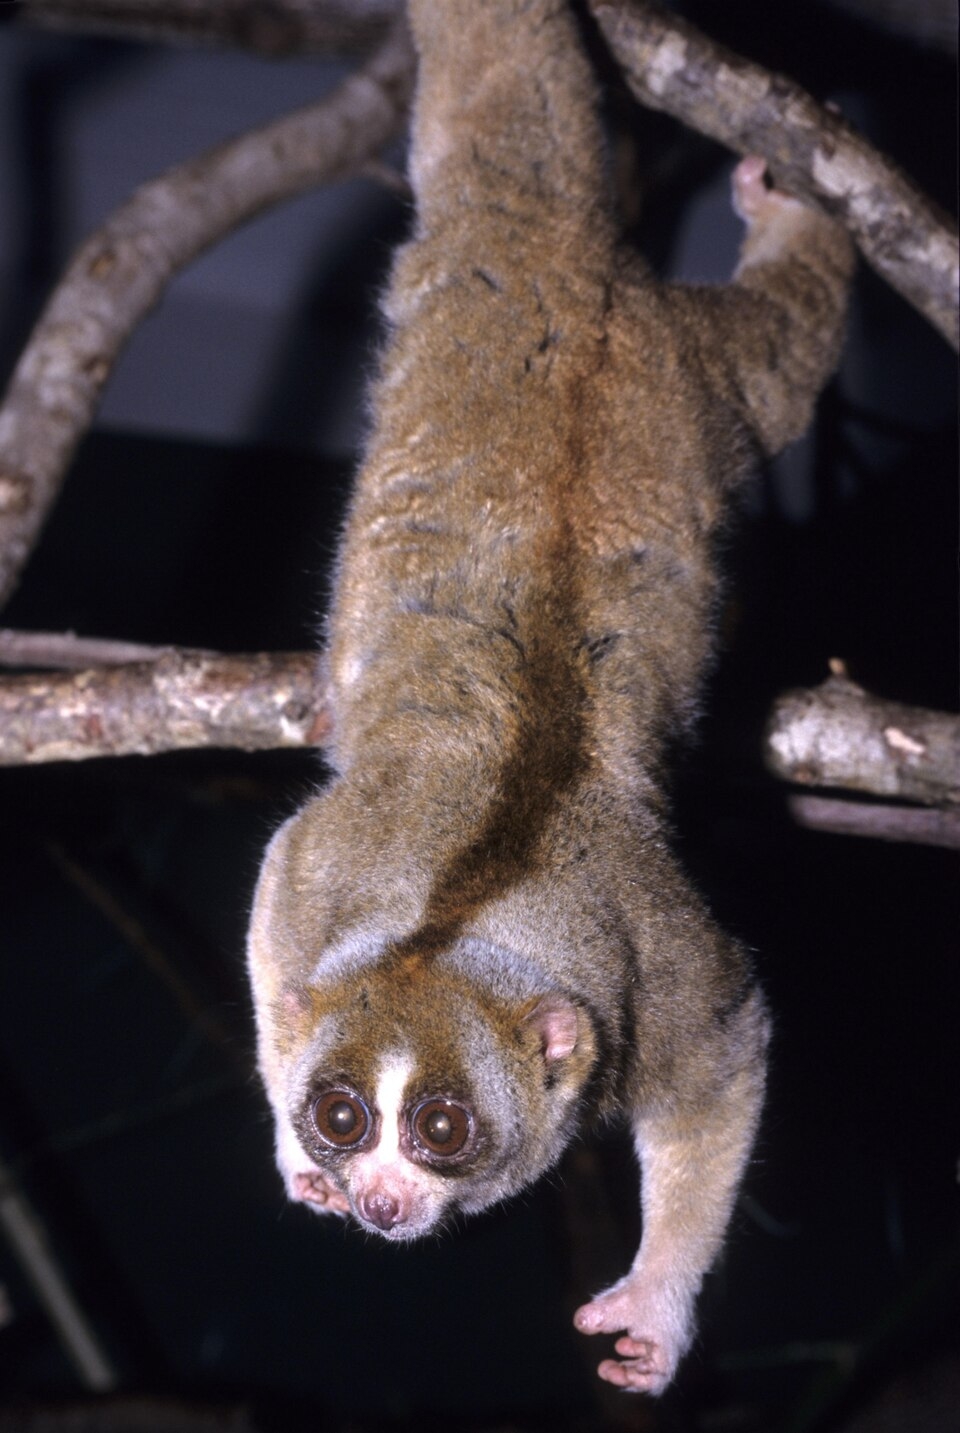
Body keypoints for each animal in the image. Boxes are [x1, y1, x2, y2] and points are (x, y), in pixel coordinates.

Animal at [247, 0, 853, 1395]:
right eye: (342, 1111)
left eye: (443, 1126)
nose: (376, 1198)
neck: (462, 907)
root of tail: (579, 269)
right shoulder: (315, 872)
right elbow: (273, 917)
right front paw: (292, 1157)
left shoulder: (662, 974)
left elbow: (730, 1054)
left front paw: (656, 1305)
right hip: (487, 280)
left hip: (696, 370)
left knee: (795, 339)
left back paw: (805, 222)